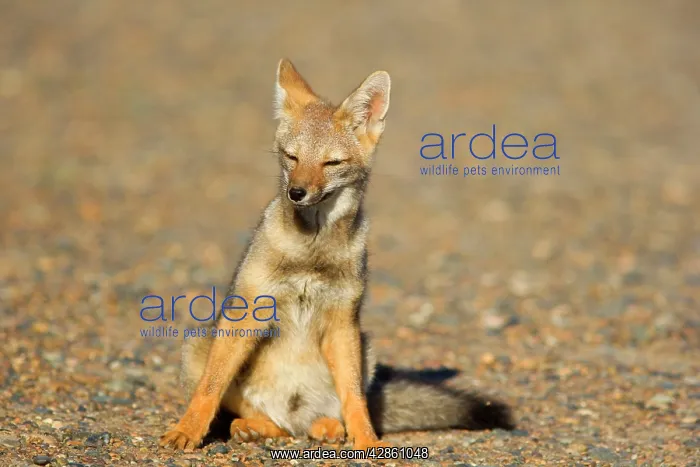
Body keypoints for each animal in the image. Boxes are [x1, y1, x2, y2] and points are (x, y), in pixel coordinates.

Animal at [159, 59, 514, 452]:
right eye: (291, 157)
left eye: (331, 163)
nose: (296, 192)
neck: (311, 253)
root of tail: (295, 413)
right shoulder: (247, 312)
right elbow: (210, 388)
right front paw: (187, 430)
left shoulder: (343, 321)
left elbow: (354, 398)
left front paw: (368, 440)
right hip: (199, 344)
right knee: (265, 418)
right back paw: (252, 427)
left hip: (365, 349)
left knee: (314, 419)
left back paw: (327, 427)